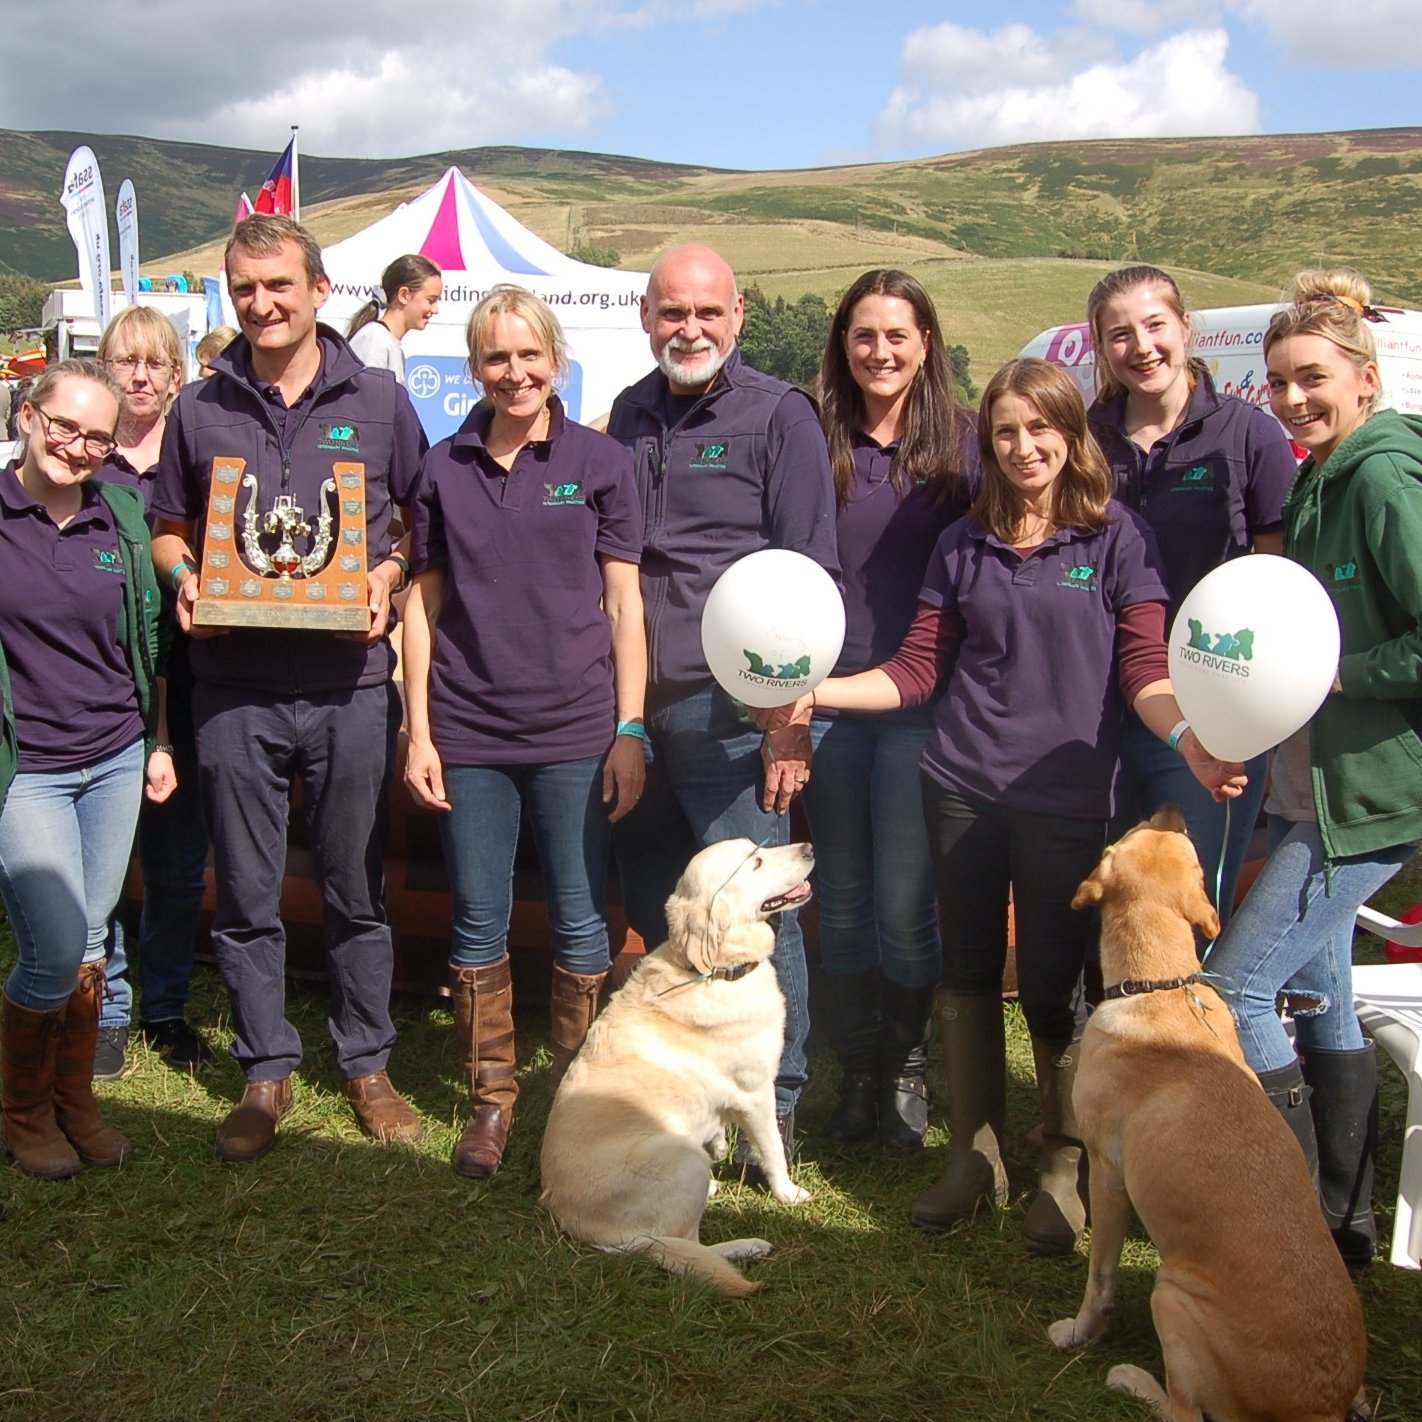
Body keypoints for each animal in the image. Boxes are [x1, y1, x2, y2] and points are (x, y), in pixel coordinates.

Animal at [540, 836, 819, 1296]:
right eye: (755, 862)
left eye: (756, 848)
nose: (810, 847)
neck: (717, 971)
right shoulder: (755, 1093)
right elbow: (773, 1152)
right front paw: (789, 1194)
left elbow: (720, 1128)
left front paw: (721, 1144)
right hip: (683, 1158)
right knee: (690, 1244)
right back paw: (745, 1245)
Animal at [1057, 807, 1365, 1416]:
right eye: (1191, 849)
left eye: (1119, 838)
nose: (1174, 806)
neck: (1162, 987)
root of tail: (1318, 1405)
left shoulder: (1107, 1173)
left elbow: (1099, 1279)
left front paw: (1080, 1333)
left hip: (1170, 1294)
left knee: (1182, 1411)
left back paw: (1131, 1378)